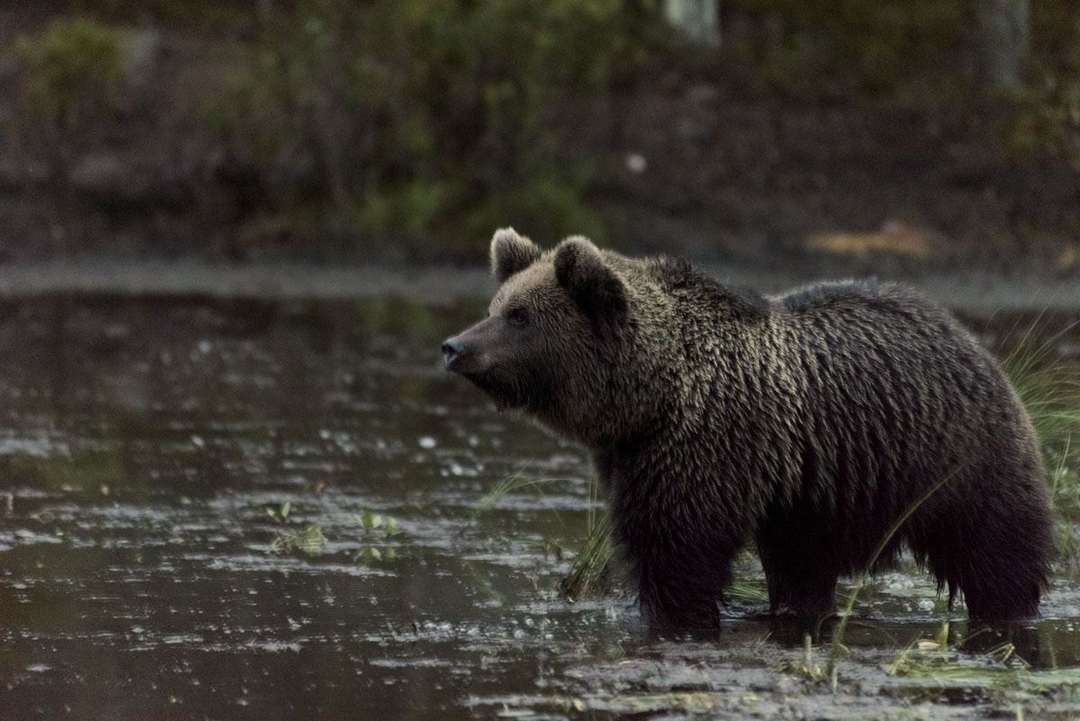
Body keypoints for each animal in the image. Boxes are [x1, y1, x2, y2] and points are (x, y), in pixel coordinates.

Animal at [440, 227, 1054, 626]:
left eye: (519, 317)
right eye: (496, 305)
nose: (455, 346)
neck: (650, 395)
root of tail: (967, 335)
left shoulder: (703, 445)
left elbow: (677, 549)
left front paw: (674, 613)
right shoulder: (630, 456)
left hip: (957, 458)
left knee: (997, 548)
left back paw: (1010, 607)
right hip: (819, 496)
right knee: (803, 567)